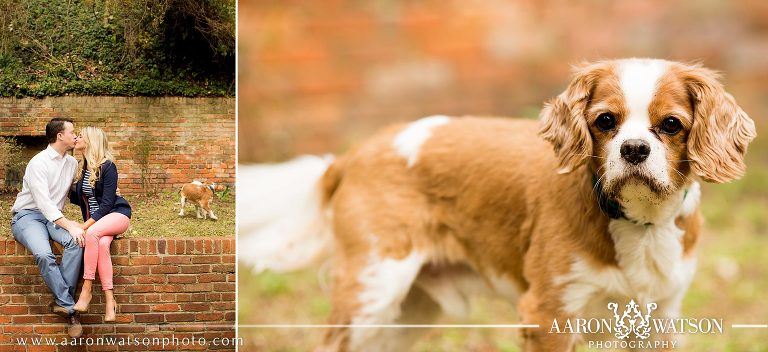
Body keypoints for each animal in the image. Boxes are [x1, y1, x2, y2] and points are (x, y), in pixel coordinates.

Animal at [244, 59, 756, 350]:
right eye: (605, 121)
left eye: (670, 125)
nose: (633, 149)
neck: (638, 222)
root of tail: (356, 151)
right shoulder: (549, 316)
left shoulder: (659, 321)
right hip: (372, 291)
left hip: (405, 314)